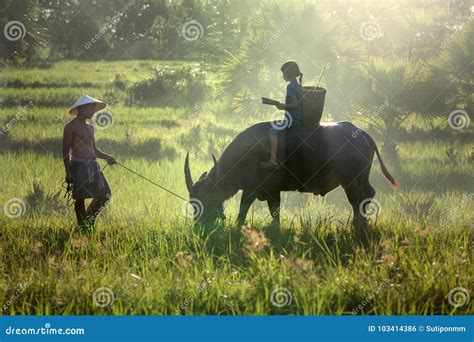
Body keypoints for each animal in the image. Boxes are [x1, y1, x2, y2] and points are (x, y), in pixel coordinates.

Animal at [183, 121, 398, 226]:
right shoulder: (267, 191)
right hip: (361, 177)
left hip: (350, 180)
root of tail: (361, 133)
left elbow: (246, 209)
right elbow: (270, 212)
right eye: (193, 204)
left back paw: (357, 224)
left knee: (356, 200)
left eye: (207, 199)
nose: (201, 225)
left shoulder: (257, 189)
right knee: (368, 194)